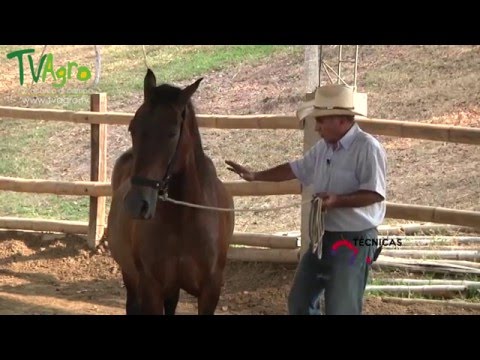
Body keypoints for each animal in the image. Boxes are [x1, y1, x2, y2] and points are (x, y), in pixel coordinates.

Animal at [108, 68, 237, 316]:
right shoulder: (151, 288)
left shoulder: (210, 291)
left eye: (171, 133)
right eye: (132, 128)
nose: (137, 204)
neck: (183, 219)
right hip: (131, 277)